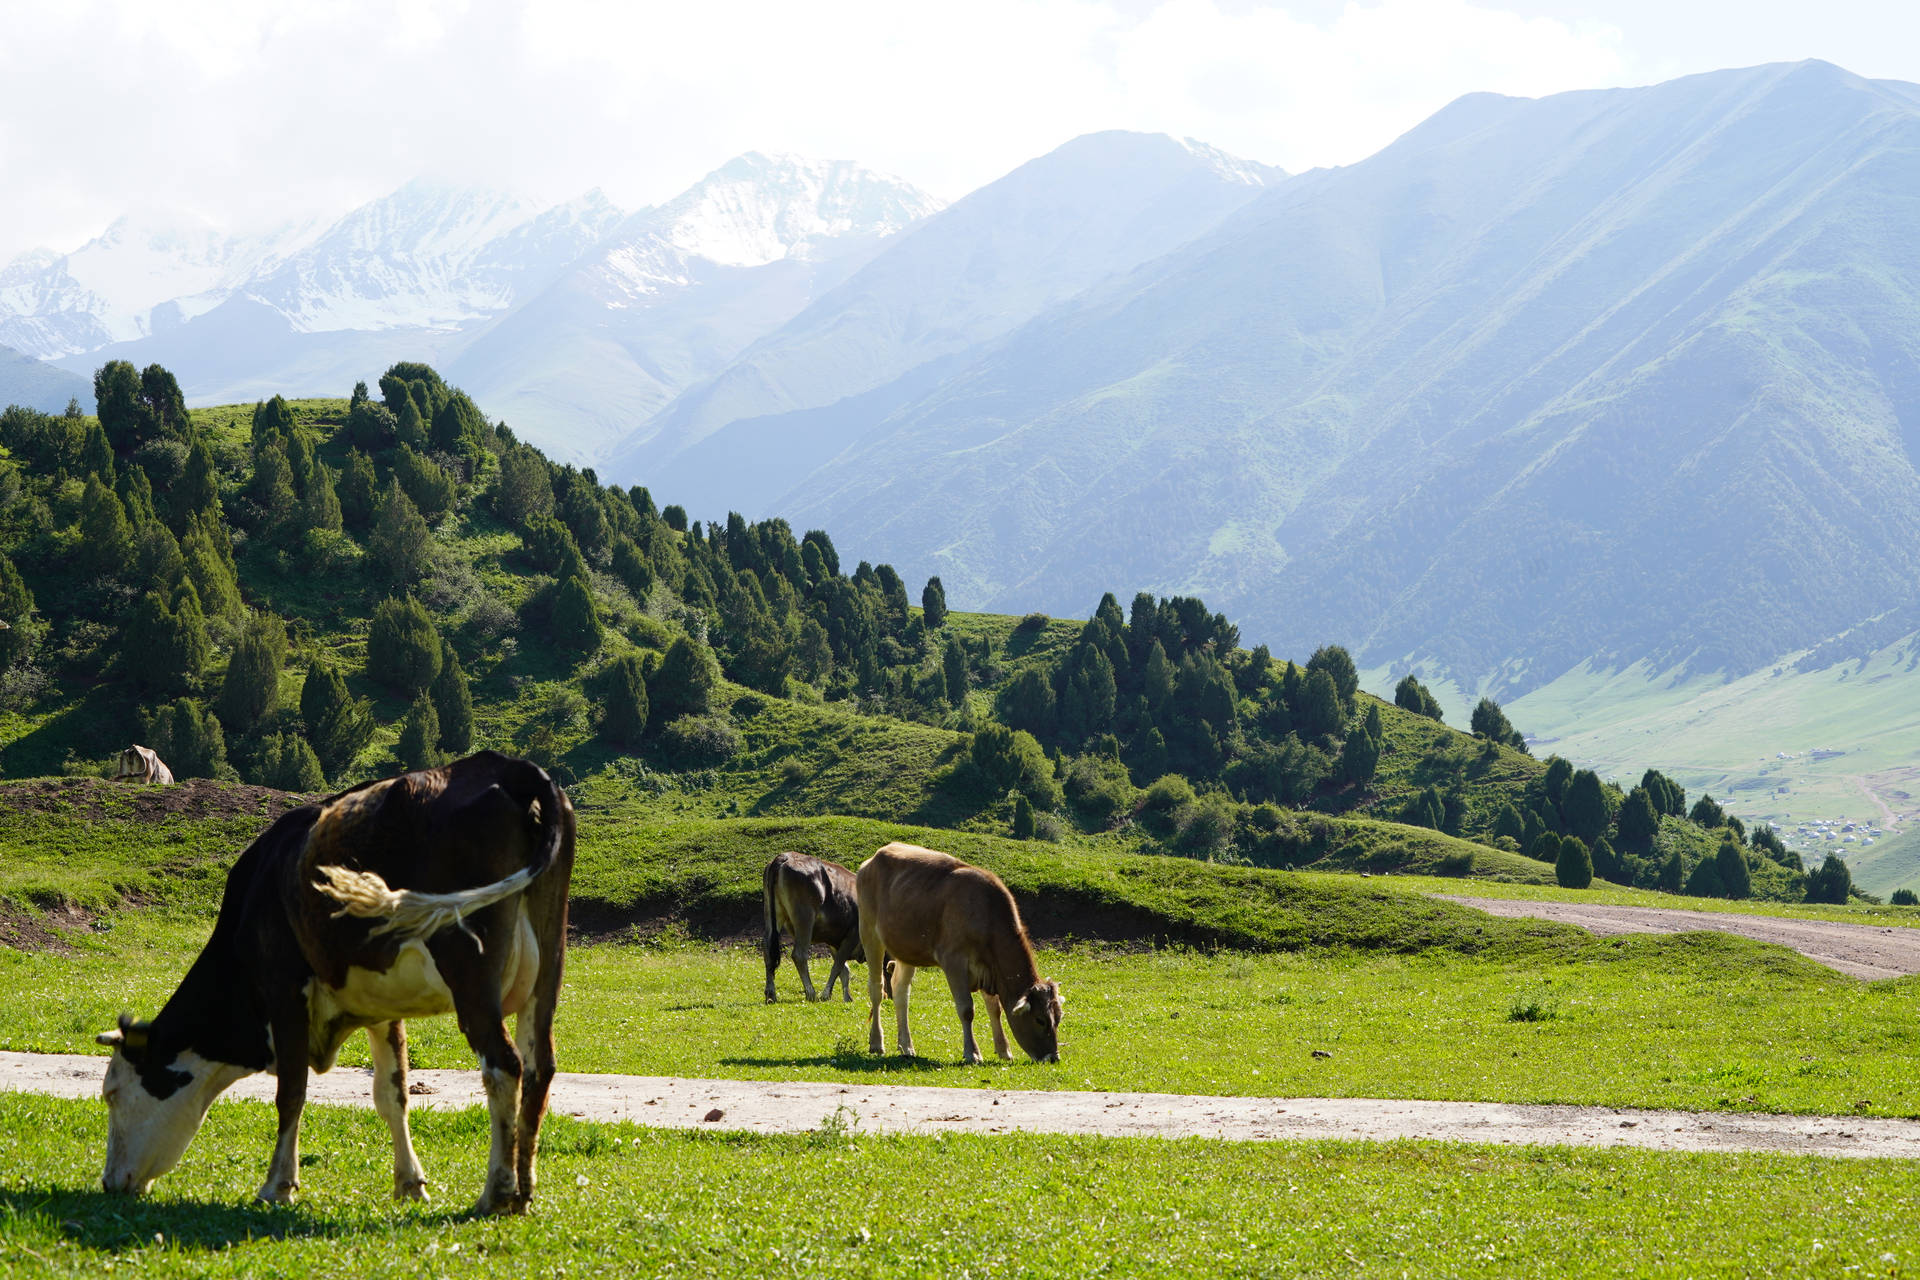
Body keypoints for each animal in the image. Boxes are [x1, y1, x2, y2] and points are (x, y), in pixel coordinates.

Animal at [96, 756, 572, 1220]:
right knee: (539, 1067)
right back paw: (524, 1193)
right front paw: (410, 1184)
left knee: (503, 1066)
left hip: (470, 973)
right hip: (547, 969)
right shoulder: (381, 1007)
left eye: (111, 1095)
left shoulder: (285, 988)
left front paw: (277, 1186)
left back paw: (497, 1192)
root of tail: (508, 766)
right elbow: (391, 1094)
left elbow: (291, 1091)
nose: (108, 1183)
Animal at [760, 855, 867, 1005]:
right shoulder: (852, 934)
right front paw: (826, 994)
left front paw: (847, 997)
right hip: (805, 918)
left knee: (768, 949)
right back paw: (811, 992)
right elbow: (838, 965)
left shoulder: (834, 941)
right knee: (799, 954)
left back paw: (771, 995)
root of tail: (785, 857)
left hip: (773, 913)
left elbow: (844, 969)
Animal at [860, 844, 1067, 1066]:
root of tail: (877, 855)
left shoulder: (988, 969)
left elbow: (995, 1009)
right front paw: (972, 1053)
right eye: (1040, 1020)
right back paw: (877, 1042)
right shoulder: (953, 961)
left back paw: (906, 1046)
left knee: (900, 990)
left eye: (1058, 1018)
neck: (986, 912)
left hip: (907, 948)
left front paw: (1004, 1050)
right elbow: (967, 1009)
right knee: (877, 988)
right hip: (869, 933)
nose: (1053, 1057)